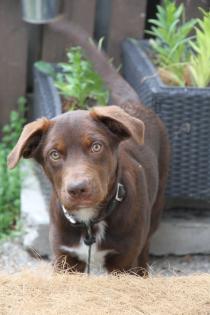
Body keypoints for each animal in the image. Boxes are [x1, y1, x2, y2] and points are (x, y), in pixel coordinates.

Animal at [7, 20, 170, 276]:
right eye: (54, 154)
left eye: (96, 146)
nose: (78, 189)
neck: (90, 222)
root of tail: (130, 103)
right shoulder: (64, 259)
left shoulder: (124, 261)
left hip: (156, 207)